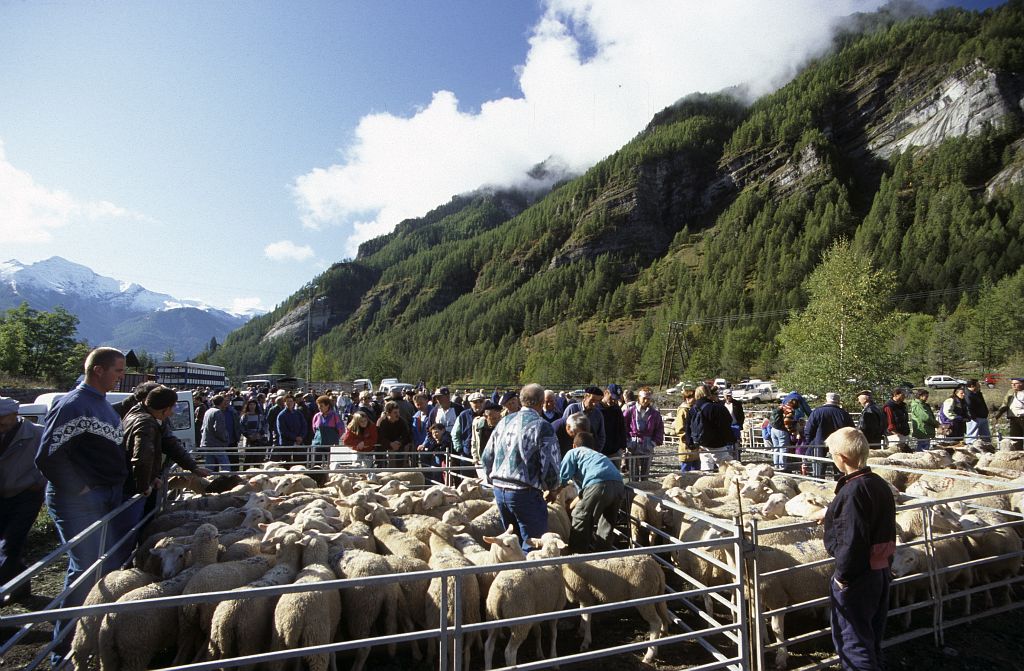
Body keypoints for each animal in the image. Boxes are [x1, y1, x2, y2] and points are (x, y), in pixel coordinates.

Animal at [481, 532, 569, 667]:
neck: (548, 555)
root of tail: (500, 591)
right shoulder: (556, 608)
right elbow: (554, 634)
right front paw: (554, 658)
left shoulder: (537, 611)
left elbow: (538, 632)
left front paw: (540, 654)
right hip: (520, 619)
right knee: (509, 652)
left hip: (492, 617)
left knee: (488, 646)